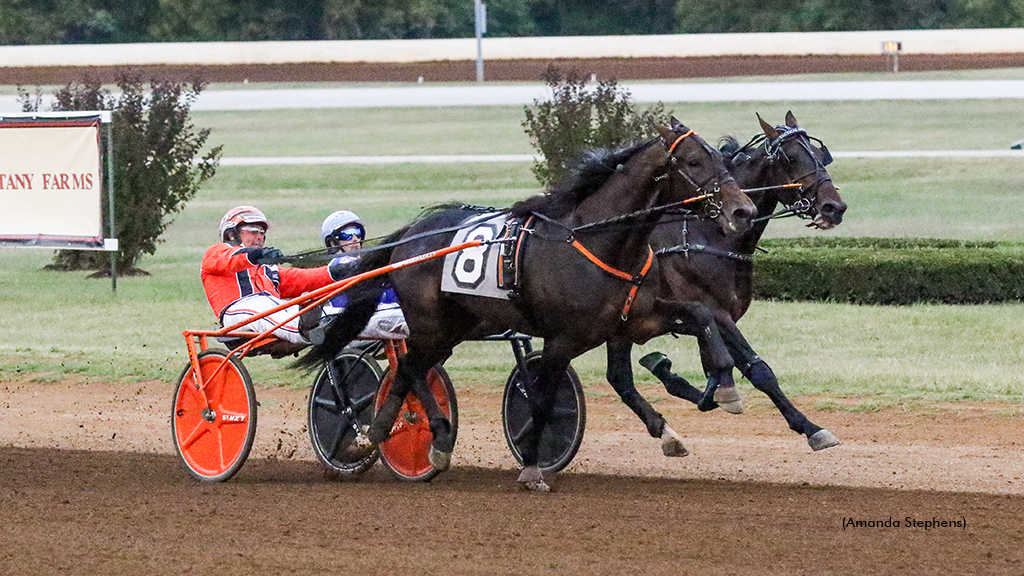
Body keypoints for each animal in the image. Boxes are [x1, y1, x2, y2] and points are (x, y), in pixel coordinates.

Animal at [598, 109, 847, 453]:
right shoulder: (713, 312)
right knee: (619, 378)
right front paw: (811, 428)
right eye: (793, 158)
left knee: (619, 378)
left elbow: (722, 367)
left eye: (821, 156)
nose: (834, 207)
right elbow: (758, 370)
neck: (711, 234)